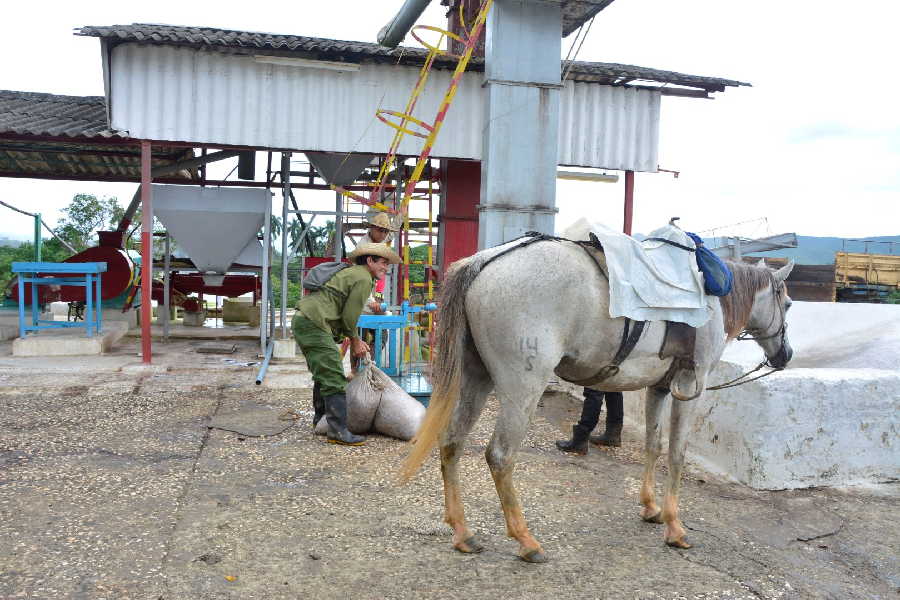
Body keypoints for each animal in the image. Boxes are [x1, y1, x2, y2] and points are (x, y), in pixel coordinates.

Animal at [402, 238, 796, 564]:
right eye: (789, 303)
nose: (785, 355)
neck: (710, 294)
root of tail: (484, 261)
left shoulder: (658, 388)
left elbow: (653, 446)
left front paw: (650, 507)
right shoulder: (690, 389)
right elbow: (676, 454)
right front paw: (674, 527)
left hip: (476, 378)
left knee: (452, 443)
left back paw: (463, 533)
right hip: (522, 386)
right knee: (500, 455)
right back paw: (526, 541)